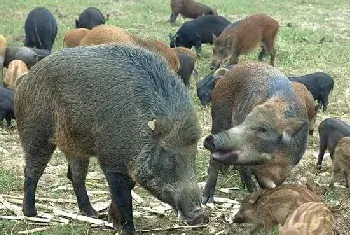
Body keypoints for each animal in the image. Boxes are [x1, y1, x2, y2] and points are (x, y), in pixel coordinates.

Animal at [16, 44, 206, 233]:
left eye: (193, 155)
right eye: (169, 156)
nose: (199, 215)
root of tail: (25, 79)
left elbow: (126, 190)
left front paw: (112, 221)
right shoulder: (112, 160)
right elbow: (123, 197)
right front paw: (128, 230)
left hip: (74, 147)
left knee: (75, 176)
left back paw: (91, 213)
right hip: (36, 134)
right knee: (31, 172)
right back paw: (31, 213)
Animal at [201, 62, 308, 204]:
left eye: (263, 129)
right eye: (245, 121)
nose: (210, 139)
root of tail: (226, 73)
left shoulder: (288, 167)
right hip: (218, 116)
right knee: (215, 163)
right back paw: (207, 200)